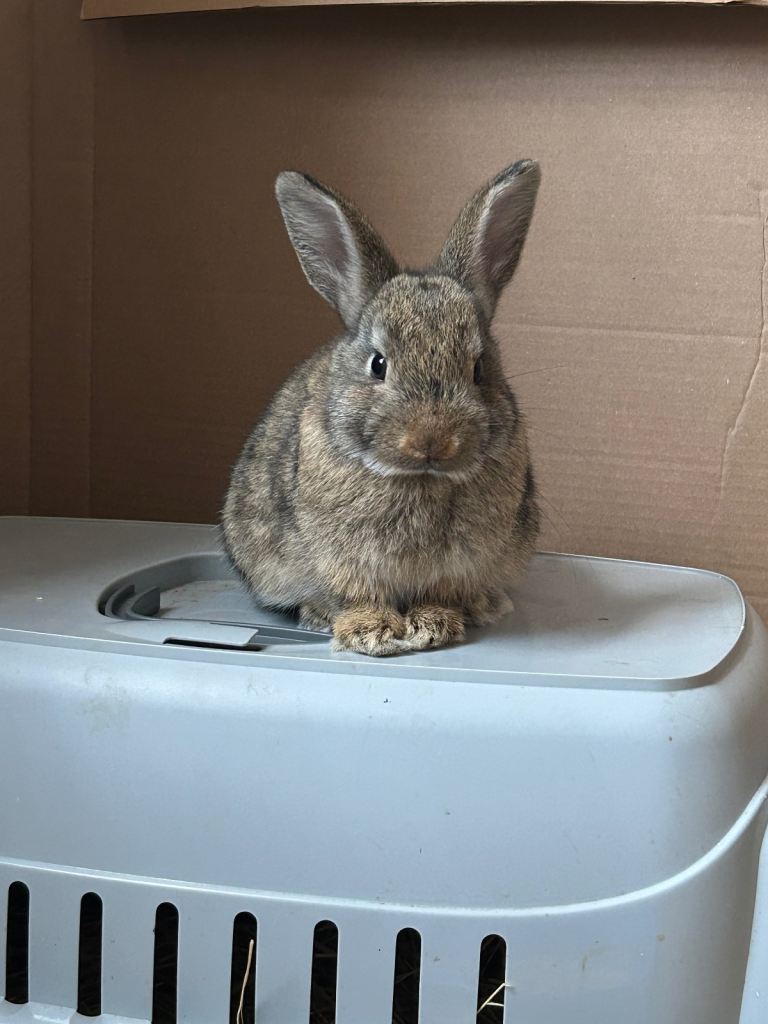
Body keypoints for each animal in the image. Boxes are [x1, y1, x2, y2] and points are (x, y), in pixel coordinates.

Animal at [222, 160, 541, 656]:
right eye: (378, 364)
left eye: (479, 368)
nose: (432, 440)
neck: (420, 477)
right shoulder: (341, 558)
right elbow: (358, 594)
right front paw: (371, 633)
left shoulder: (463, 563)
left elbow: (441, 593)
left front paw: (434, 626)